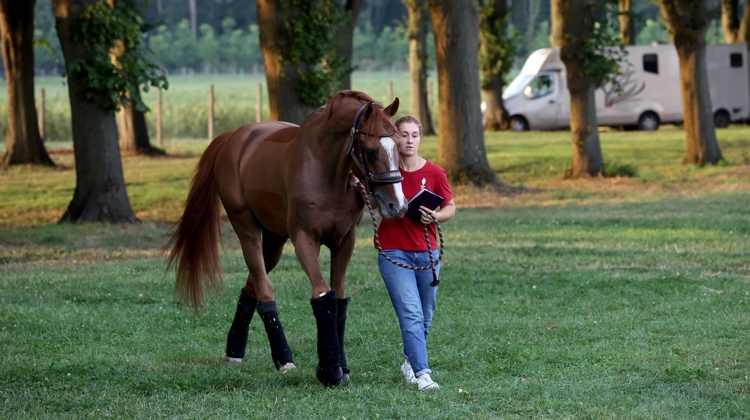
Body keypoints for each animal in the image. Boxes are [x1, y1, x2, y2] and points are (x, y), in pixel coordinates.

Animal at [168, 91, 408, 388]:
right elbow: (322, 294)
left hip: (274, 242)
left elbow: (338, 299)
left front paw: (341, 366)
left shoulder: (344, 241)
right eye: (372, 151)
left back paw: (235, 349)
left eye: (398, 146)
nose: (397, 206)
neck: (327, 172)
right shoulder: (304, 240)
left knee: (253, 285)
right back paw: (283, 358)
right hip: (247, 230)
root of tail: (236, 136)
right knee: (265, 289)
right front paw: (329, 370)